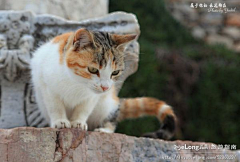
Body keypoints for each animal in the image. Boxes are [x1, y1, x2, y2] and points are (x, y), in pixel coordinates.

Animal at [30, 27, 176, 139]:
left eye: (115, 72)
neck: (76, 82)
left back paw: (104, 130)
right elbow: (55, 106)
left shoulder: (92, 97)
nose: (105, 87)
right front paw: (60, 121)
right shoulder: (47, 86)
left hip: (107, 104)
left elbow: (83, 108)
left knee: (111, 118)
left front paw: (78, 122)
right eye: (93, 69)